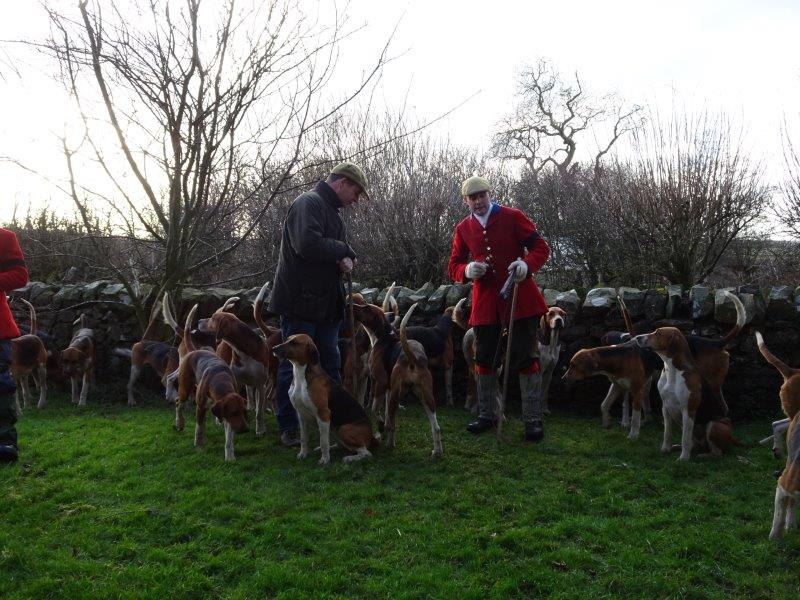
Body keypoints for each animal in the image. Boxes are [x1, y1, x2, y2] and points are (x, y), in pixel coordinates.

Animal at [174, 304, 249, 461]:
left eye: (244, 411)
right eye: (234, 412)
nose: (246, 429)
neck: (220, 380)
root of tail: (194, 350)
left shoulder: (225, 414)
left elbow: (228, 438)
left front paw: (230, 455)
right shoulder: (201, 407)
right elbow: (199, 428)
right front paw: (198, 445)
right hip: (185, 390)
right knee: (178, 403)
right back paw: (179, 422)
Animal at [272, 333, 380, 464]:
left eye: (294, 343)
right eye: (287, 339)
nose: (274, 349)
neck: (301, 375)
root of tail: (371, 436)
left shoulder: (323, 414)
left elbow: (323, 441)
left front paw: (325, 460)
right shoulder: (301, 415)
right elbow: (304, 439)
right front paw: (303, 454)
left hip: (343, 429)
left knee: (366, 452)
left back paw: (349, 458)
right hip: (334, 429)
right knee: (340, 445)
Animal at [352, 301, 443, 457]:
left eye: (367, 308)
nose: (350, 304)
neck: (383, 338)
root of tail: (413, 358)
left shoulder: (380, 384)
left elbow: (375, 410)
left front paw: (381, 426)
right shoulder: (388, 390)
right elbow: (387, 415)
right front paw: (382, 428)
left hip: (396, 394)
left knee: (392, 424)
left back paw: (390, 444)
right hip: (425, 396)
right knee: (436, 428)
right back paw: (437, 452)